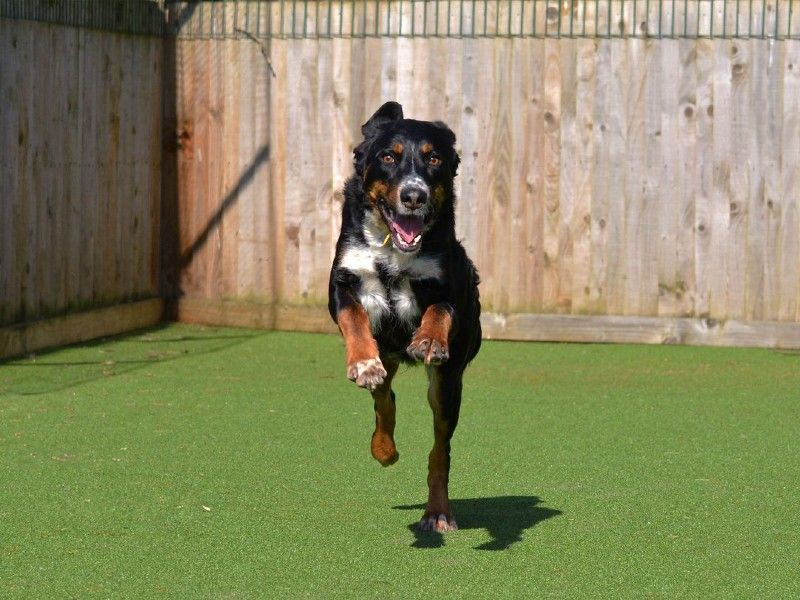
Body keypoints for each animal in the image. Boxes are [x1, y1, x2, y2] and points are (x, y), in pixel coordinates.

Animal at [326, 101, 482, 532]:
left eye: (434, 158)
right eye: (388, 157)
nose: (414, 194)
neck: (392, 248)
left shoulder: (448, 287)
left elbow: (439, 310)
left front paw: (429, 339)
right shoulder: (342, 284)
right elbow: (354, 317)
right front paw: (362, 362)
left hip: (447, 388)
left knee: (440, 451)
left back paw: (438, 511)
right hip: (391, 356)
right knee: (385, 397)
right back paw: (383, 448)